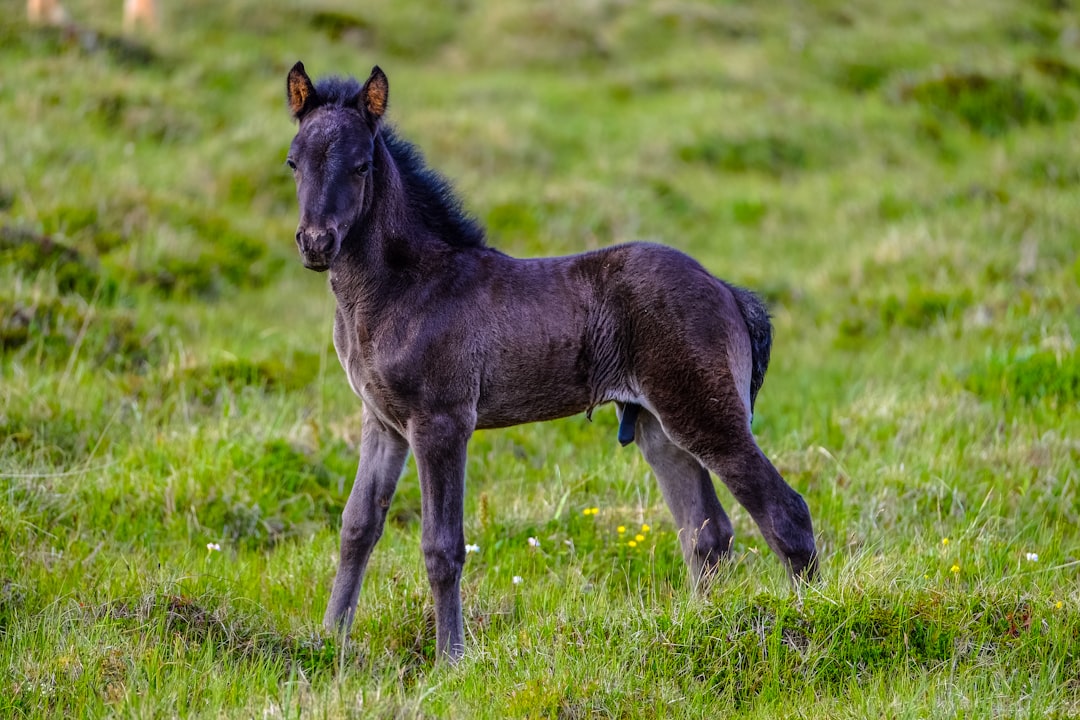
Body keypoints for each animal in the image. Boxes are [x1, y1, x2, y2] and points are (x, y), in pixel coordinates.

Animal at [282, 63, 812, 664]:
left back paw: (811, 616)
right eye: (294, 161)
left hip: (705, 413)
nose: (316, 243)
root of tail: (727, 291)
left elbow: (442, 546)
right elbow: (357, 526)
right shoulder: (383, 421)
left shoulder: (441, 422)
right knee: (706, 535)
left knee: (786, 513)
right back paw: (704, 626)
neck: (406, 286)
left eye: (361, 164)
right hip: (659, 427)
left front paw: (451, 660)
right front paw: (329, 640)